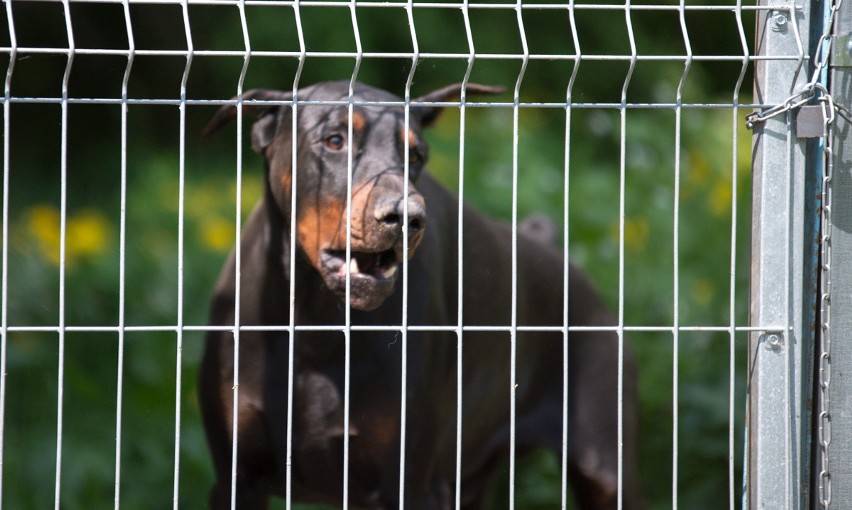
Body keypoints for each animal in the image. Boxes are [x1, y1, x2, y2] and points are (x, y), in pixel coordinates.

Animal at [198, 81, 640, 508]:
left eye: (416, 155)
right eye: (334, 140)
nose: (406, 217)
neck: (315, 319)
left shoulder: (413, 484)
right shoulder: (237, 481)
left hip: (606, 468)